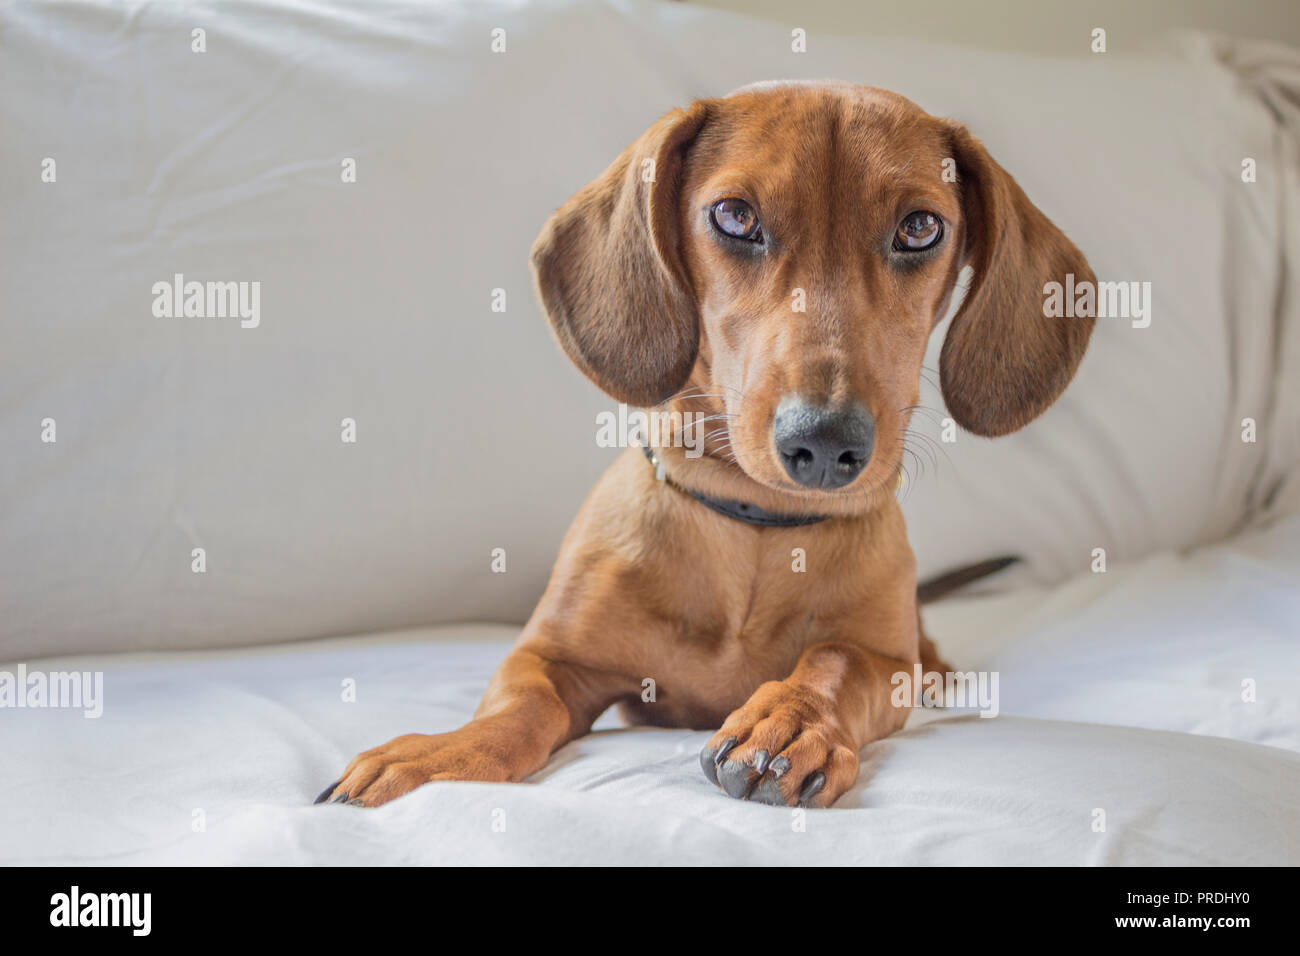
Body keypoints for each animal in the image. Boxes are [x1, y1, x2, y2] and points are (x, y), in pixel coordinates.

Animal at [319, 82, 1092, 811]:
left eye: (921, 227)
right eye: (736, 216)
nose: (824, 442)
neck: (757, 527)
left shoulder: (880, 660)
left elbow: (837, 661)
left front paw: (792, 720)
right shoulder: (555, 657)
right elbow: (520, 701)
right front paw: (443, 752)